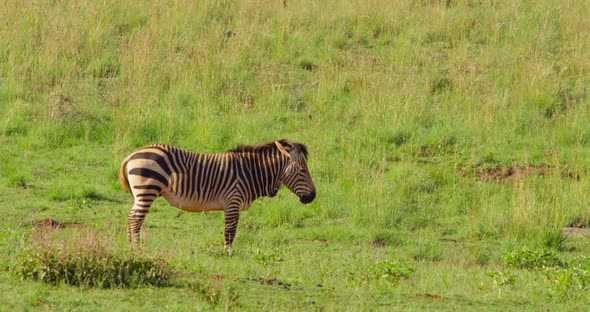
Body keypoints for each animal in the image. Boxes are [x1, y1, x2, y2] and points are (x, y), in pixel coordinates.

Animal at [117, 139, 316, 251]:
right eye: (302, 170)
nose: (313, 196)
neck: (250, 173)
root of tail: (133, 154)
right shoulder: (233, 201)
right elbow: (230, 230)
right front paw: (228, 252)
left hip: (141, 193)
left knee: (130, 218)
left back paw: (130, 246)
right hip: (147, 190)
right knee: (135, 219)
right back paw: (136, 247)